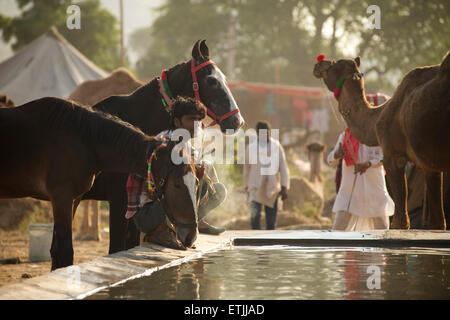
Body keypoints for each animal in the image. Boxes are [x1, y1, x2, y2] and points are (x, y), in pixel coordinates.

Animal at [312, 50, 450, 230]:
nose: (318, 64)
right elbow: (438, 222)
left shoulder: (393, 157)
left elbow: (400, 222)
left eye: (334, 63)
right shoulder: (429, 166)